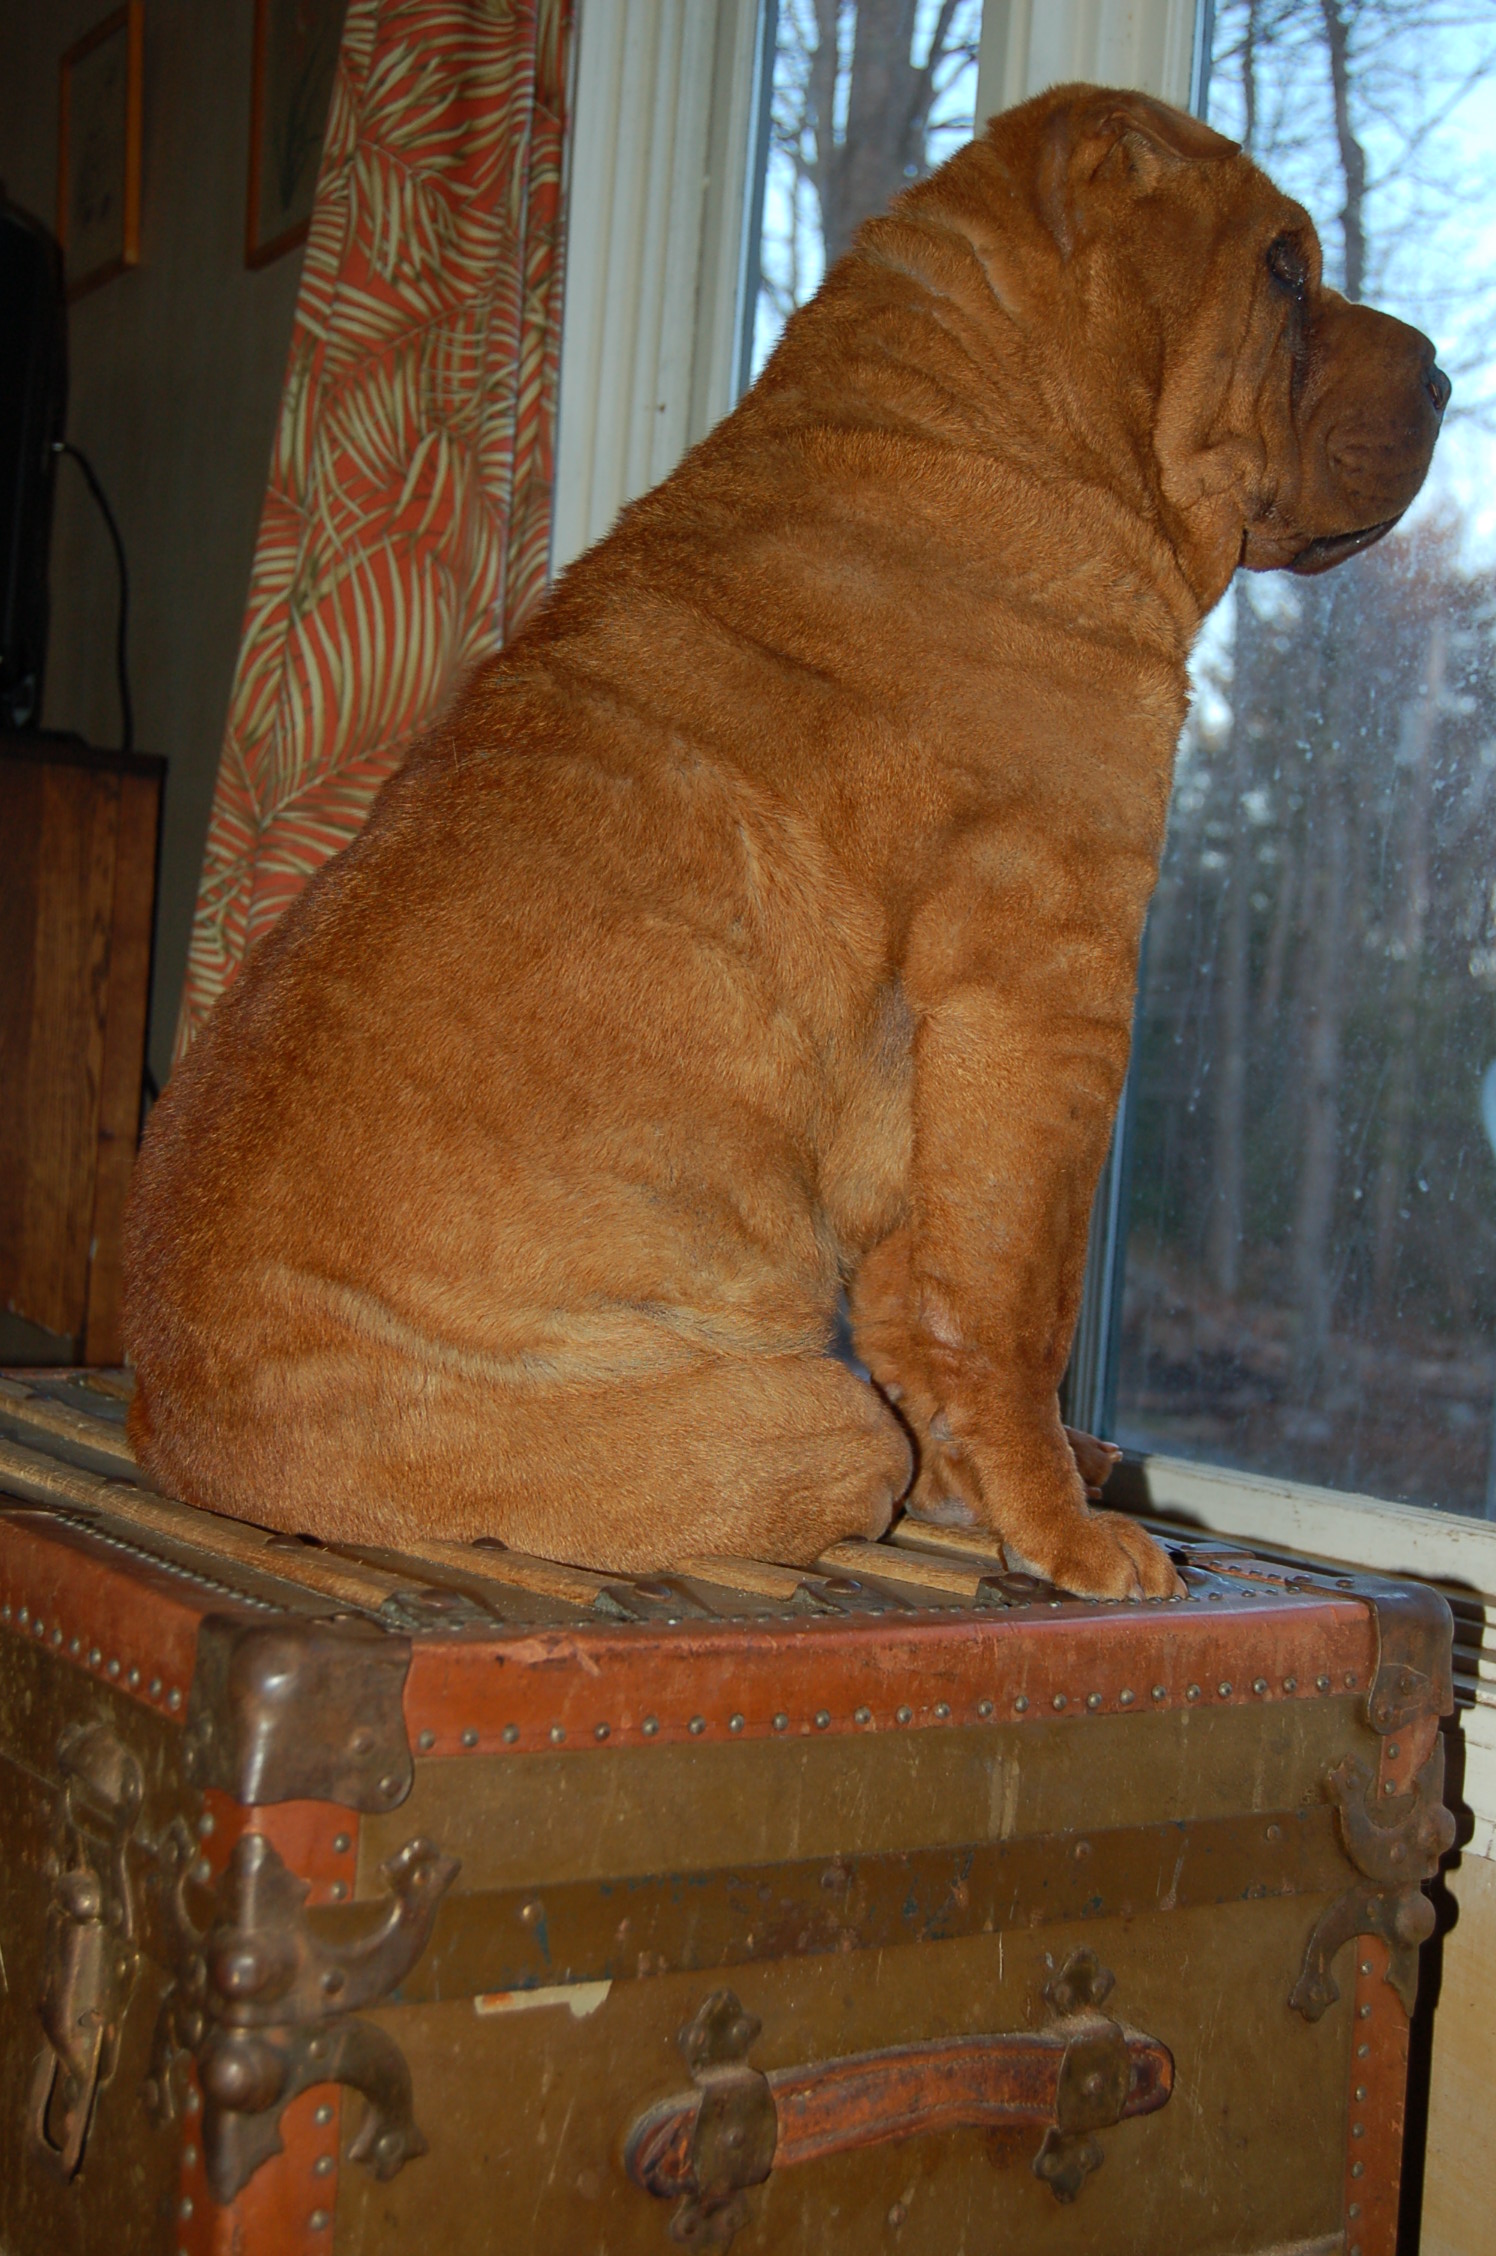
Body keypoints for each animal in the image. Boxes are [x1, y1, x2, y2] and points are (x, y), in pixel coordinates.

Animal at [122, 84, 1446, 1599]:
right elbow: (1015, 1304)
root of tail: (172, 1427)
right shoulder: (1043, 999)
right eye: (1286, 268)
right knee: (848, 1448)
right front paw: (1061, 1530)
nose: (1445, 376)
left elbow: (933, 1294)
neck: (998, 421)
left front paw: (1005, 1485)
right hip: (788, 1408)